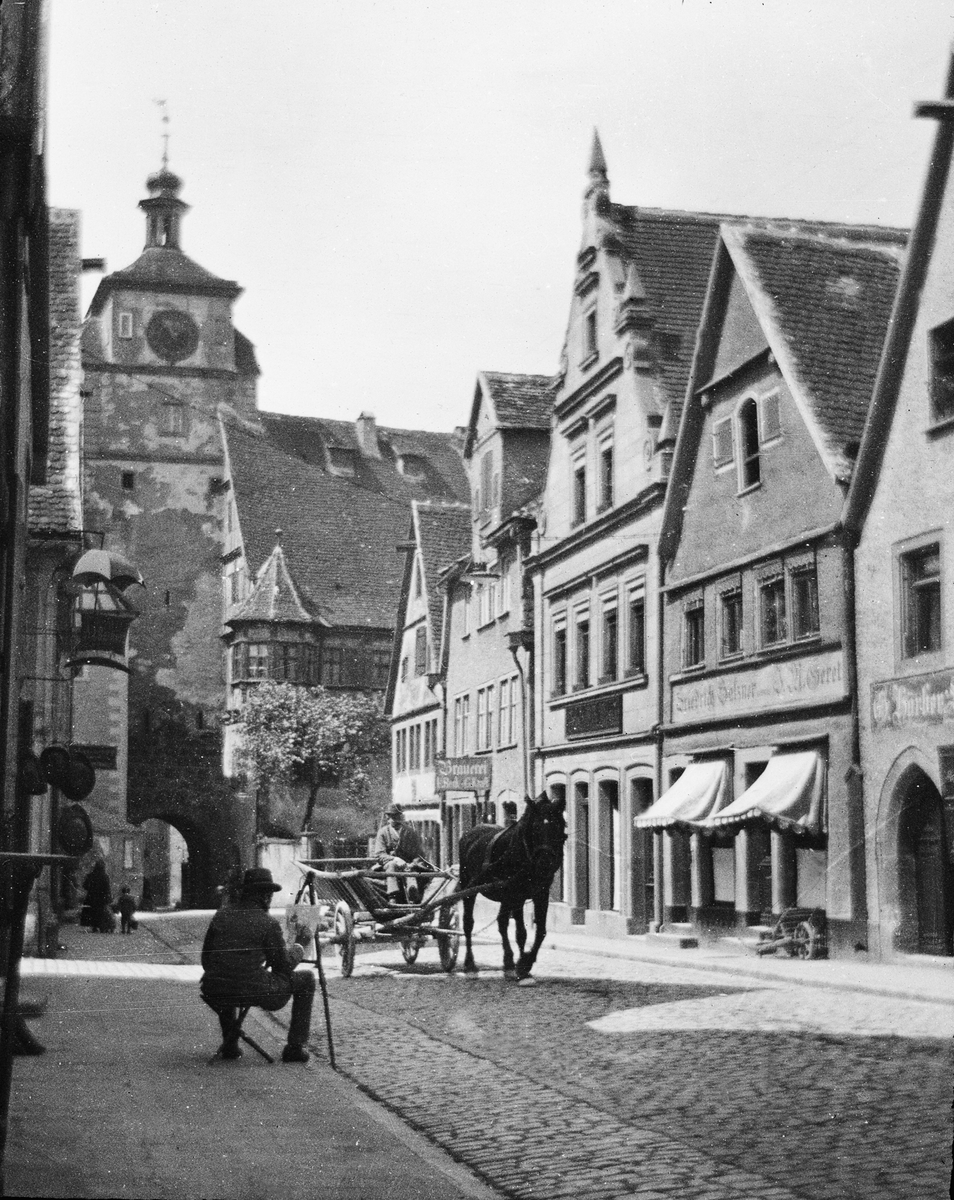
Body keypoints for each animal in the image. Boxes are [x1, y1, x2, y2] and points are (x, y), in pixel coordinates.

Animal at [456, 792, 564, 979]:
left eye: (556, 827)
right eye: (535, 829)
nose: (545, 863)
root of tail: (470, 832)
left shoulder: (540, 894)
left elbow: (540, 931)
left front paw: (524, 963)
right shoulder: (515, 894)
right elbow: (521, 932)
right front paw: (522, 964)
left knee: (501, 923)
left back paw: (508, 962)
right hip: (469, 888)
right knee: (468, 923)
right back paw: (470, 964)